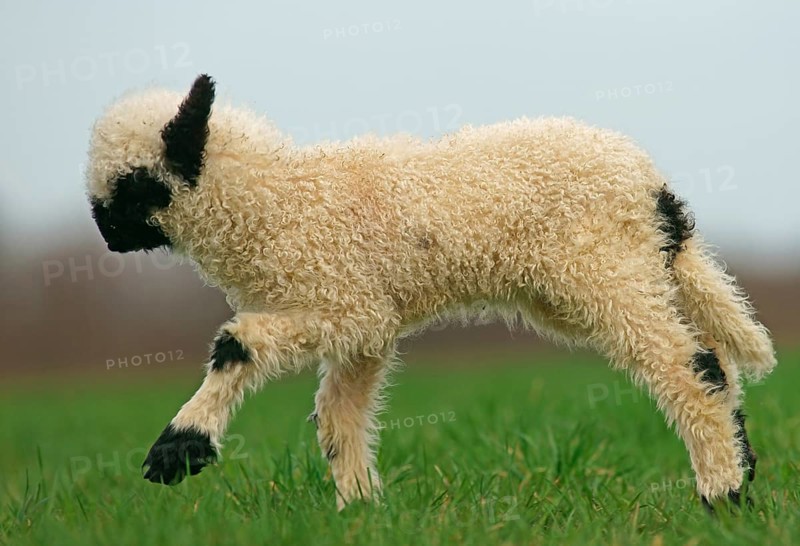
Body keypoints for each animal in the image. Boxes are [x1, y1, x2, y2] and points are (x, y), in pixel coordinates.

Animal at [86, 74, 776, 511]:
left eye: (133, 186)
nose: (105, 236)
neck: (279, 199)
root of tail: (652, 186)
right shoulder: (366, 326)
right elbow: (339, 414)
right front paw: (361, 510)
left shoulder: (343, 301)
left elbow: (236, 345)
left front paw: (178, 449)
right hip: (619, 273)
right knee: (715, 356)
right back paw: (741, 477)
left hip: (602, 268)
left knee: (688, 364)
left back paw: (721, 496)